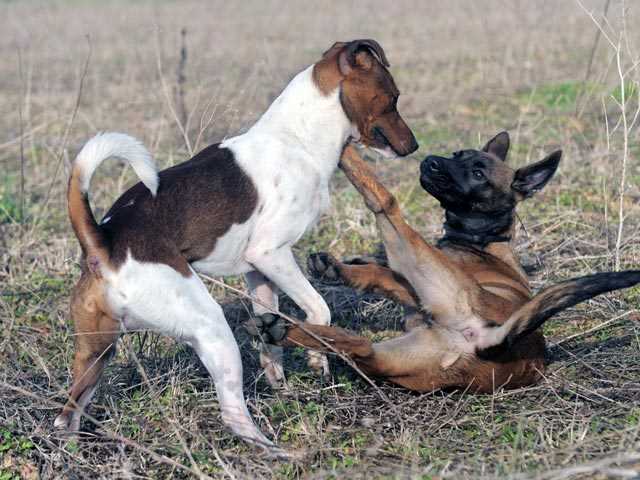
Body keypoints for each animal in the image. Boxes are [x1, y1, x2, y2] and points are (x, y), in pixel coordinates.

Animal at [53, 38, 416, 450]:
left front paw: (281, 380)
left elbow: (271, 337)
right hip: (211, 329)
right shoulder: (272, 255)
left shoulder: (259, 274)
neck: (297, 138)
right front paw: (317, 359)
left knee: (66, 416)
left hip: (96, 351)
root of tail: (102, 244)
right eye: (393, 98)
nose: (414, 146)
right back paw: (277, 451)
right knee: (232, 414)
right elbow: (319, 310)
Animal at [248, 133, 640, 392]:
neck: (483, 241)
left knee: (386, 204)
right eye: (457, 154)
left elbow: (386, 269)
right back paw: (280, 329)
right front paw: (338, 269)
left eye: (479, 173)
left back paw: (348, 152)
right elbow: (380, 274)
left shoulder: (420, 282)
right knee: (358, 345)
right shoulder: (412, 294)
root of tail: (497, 340)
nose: (430, 160)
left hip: (418, 269)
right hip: (398, 356)